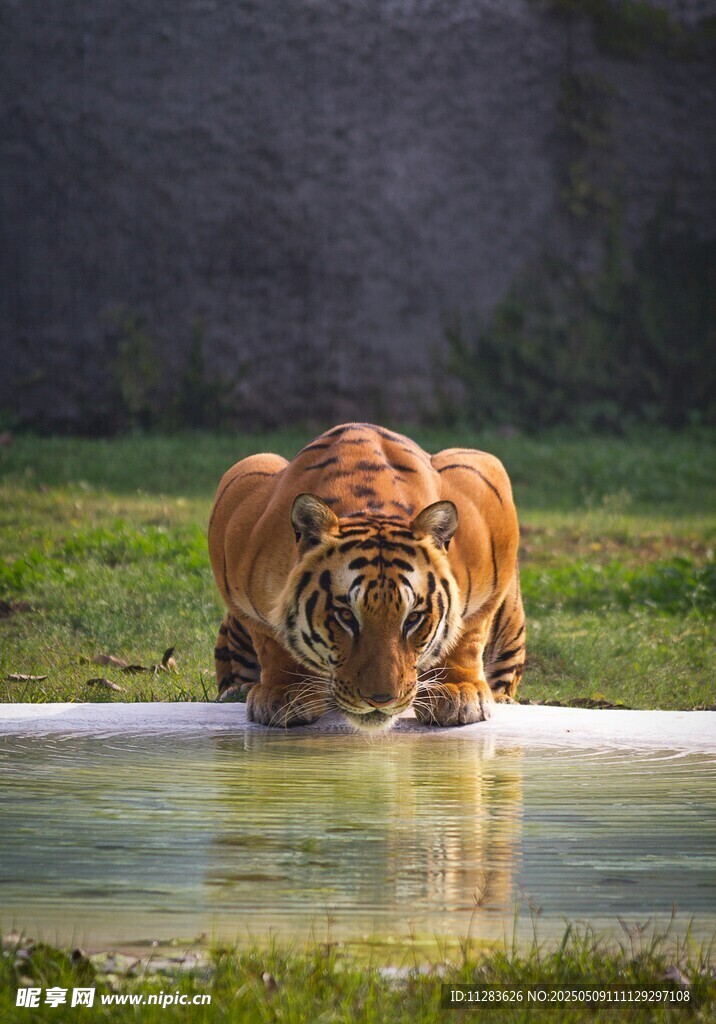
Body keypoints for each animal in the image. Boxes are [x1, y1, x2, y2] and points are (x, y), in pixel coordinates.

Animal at [208, 423, 525, 732]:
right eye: (346, 616)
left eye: (413, 618)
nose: (381, 700)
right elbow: (271, 639)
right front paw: (284, 693)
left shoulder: (486, 488)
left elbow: (468, 632)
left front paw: (457, 692)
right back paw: (237, 691)